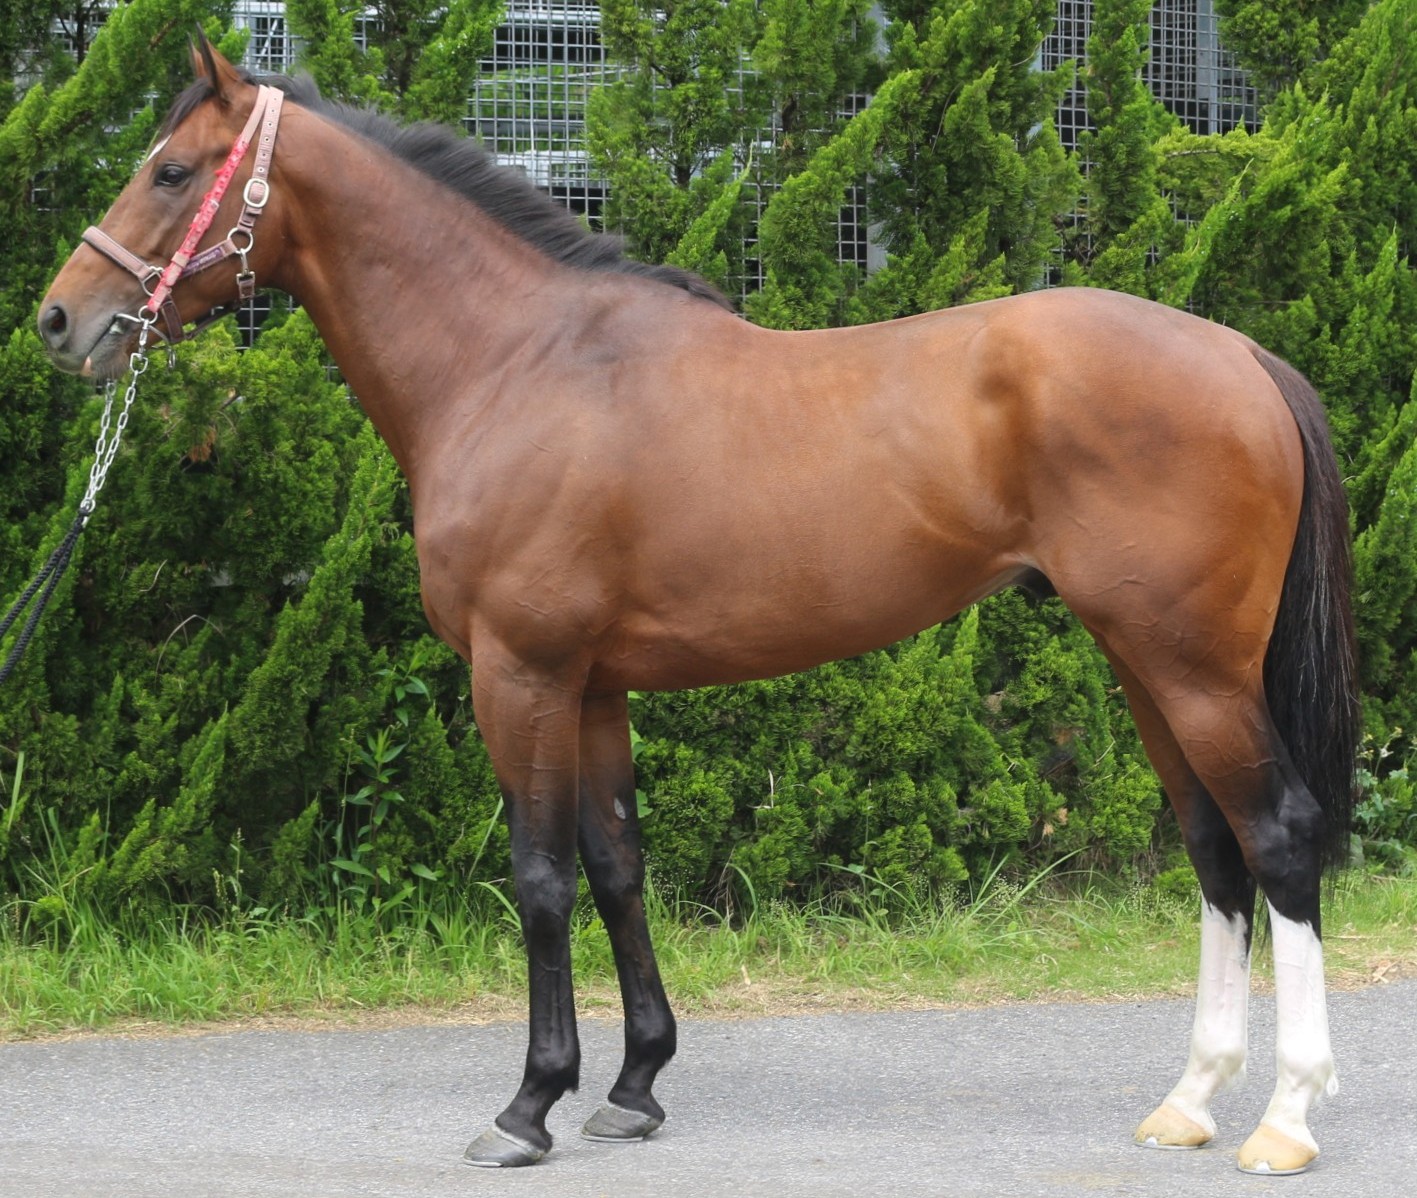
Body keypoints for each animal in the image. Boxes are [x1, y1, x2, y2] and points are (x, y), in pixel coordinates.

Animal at [37, 37, 1359, 1176]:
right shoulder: (594, 685)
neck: (516, 364)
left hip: (1191, 667)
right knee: (1214, 851)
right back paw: (1190, 1099)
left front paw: (527, 1104)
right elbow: (617, 864)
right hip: (1146, 663)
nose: (60, 319)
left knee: (1280, 837)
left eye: (169, 169)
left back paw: (1285, 1117)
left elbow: (540, 876)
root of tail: (1241, 355)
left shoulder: (518, 673)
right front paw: (633, 1086)